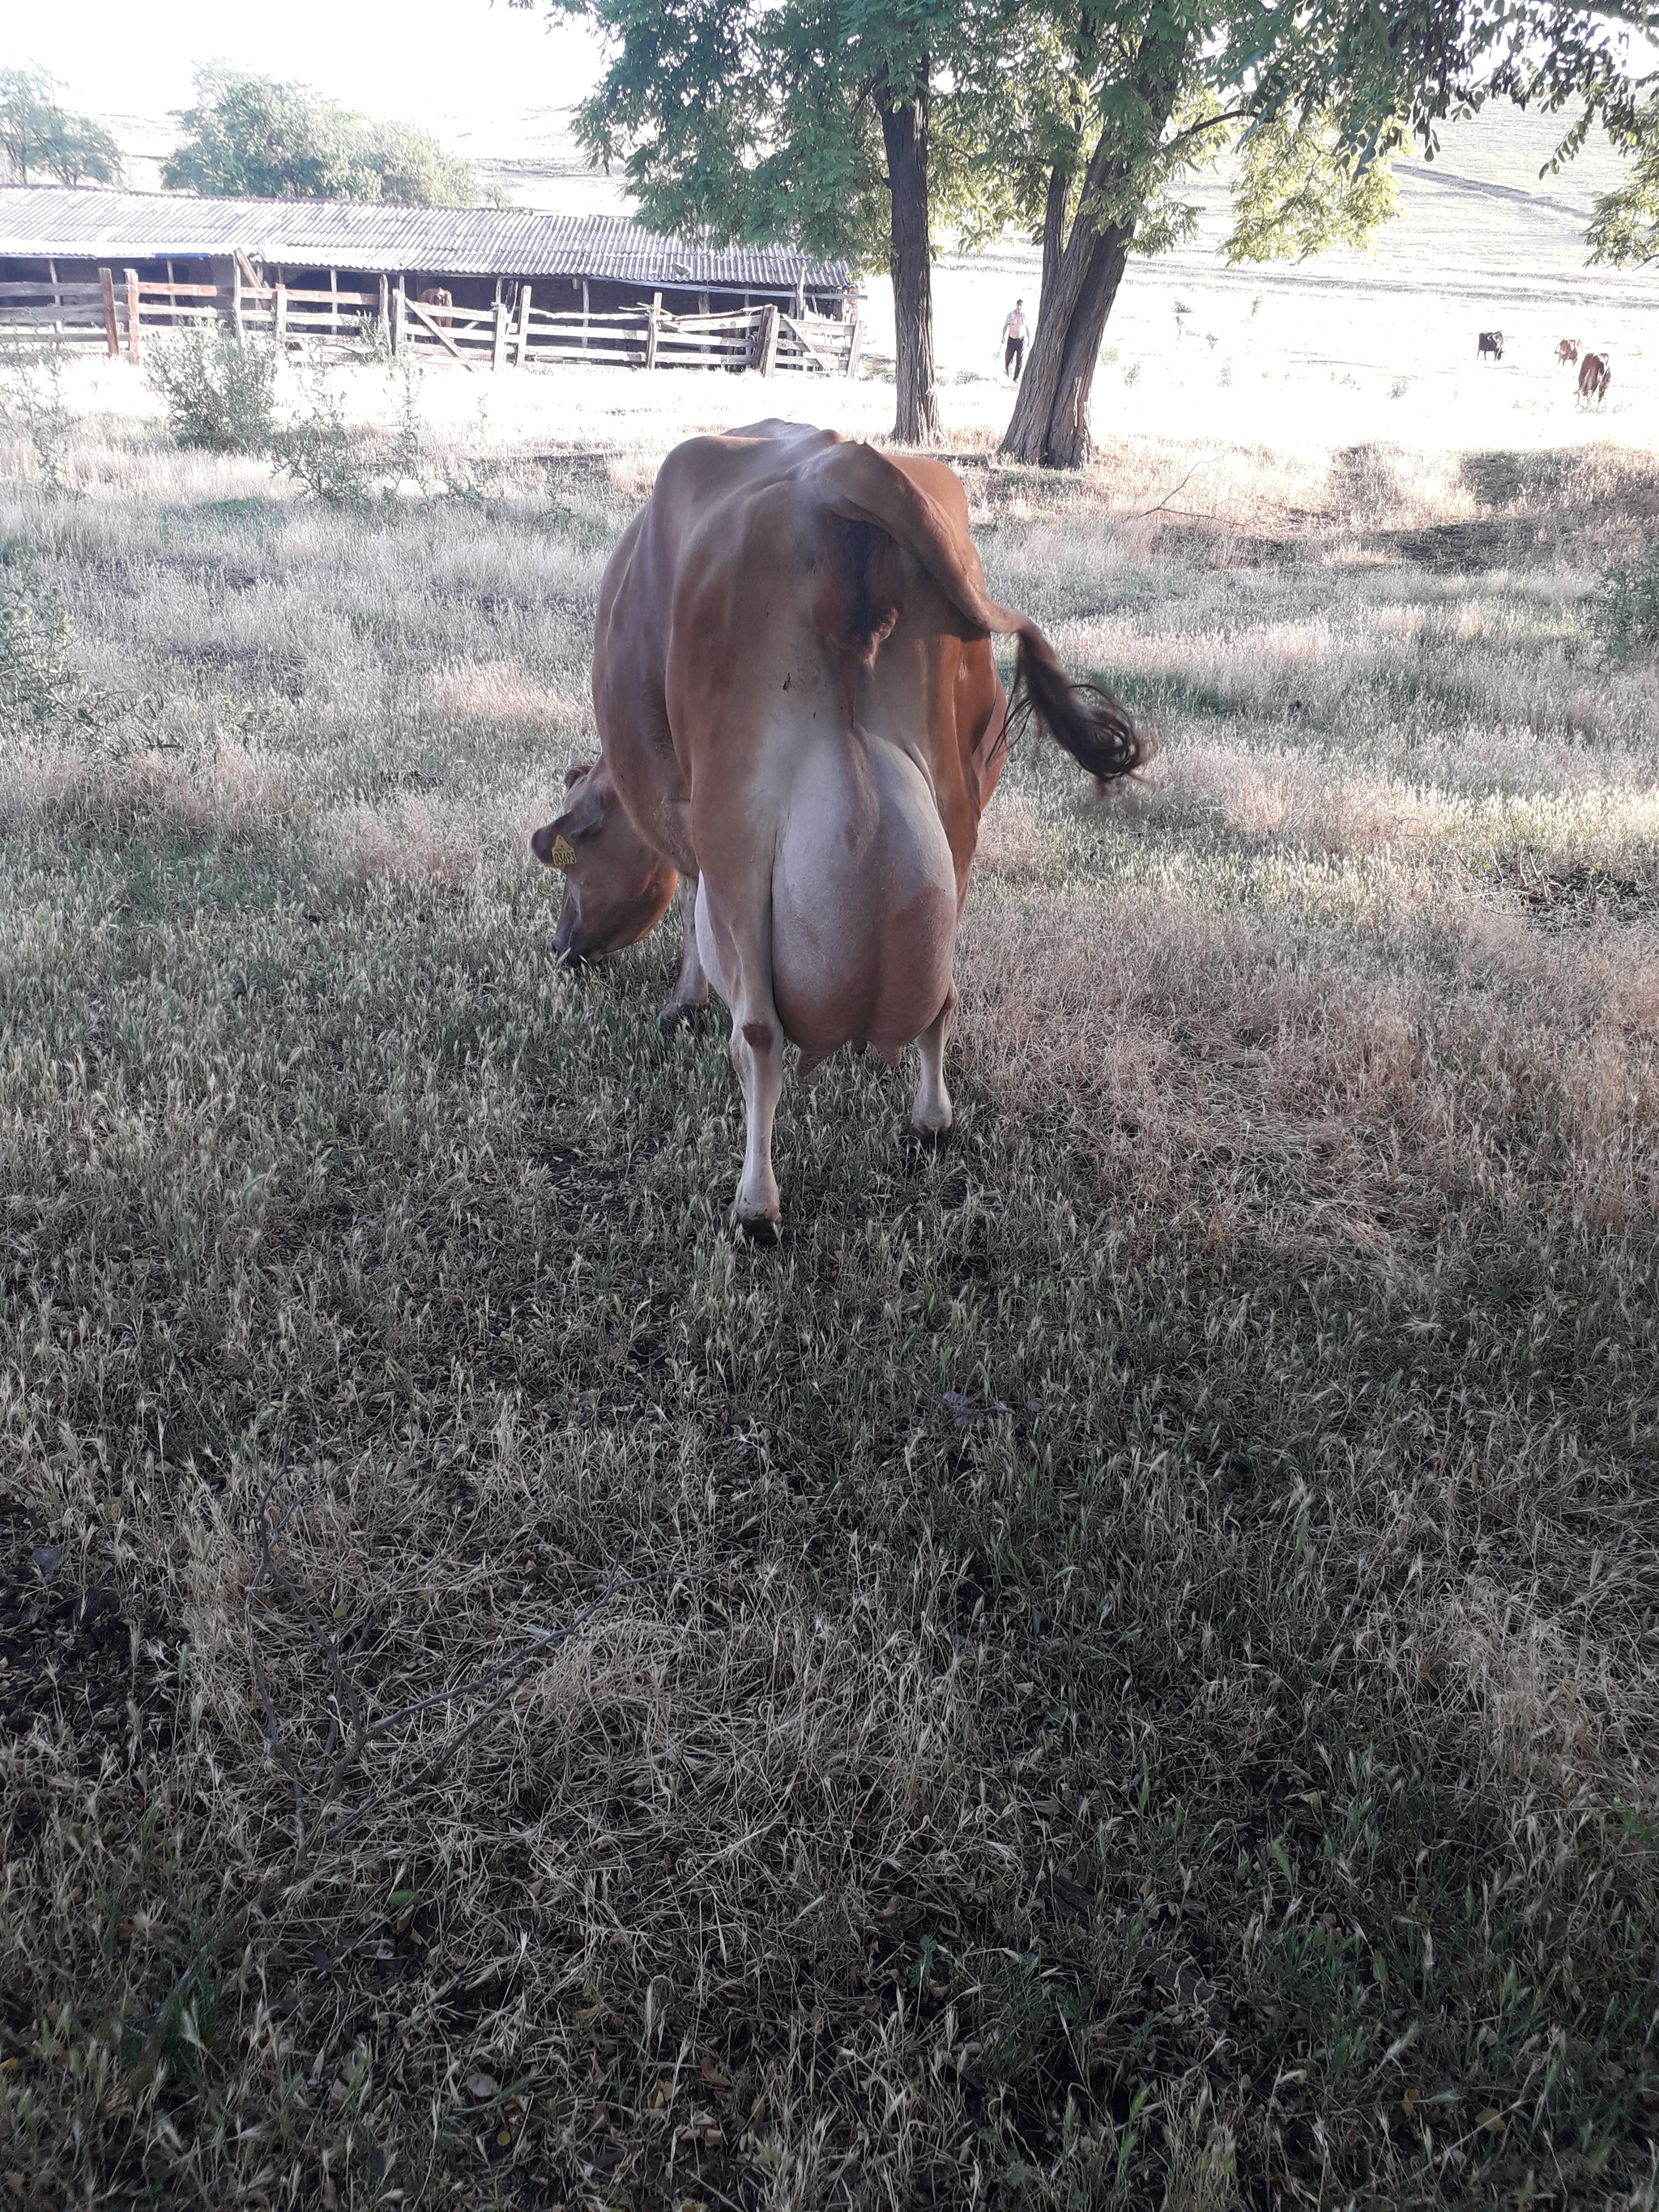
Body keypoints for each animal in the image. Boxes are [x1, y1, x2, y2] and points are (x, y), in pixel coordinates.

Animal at [533, 422, 1141, 1238]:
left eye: (574, 859)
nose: (561, 945)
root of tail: (842, 461)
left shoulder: (688, 826)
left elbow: (691, 915)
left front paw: (680, 1005)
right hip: (955, 809)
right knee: (942, 994)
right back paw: (930, 1120)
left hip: (739, 826)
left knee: (759, 1035)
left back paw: (756, 1204)